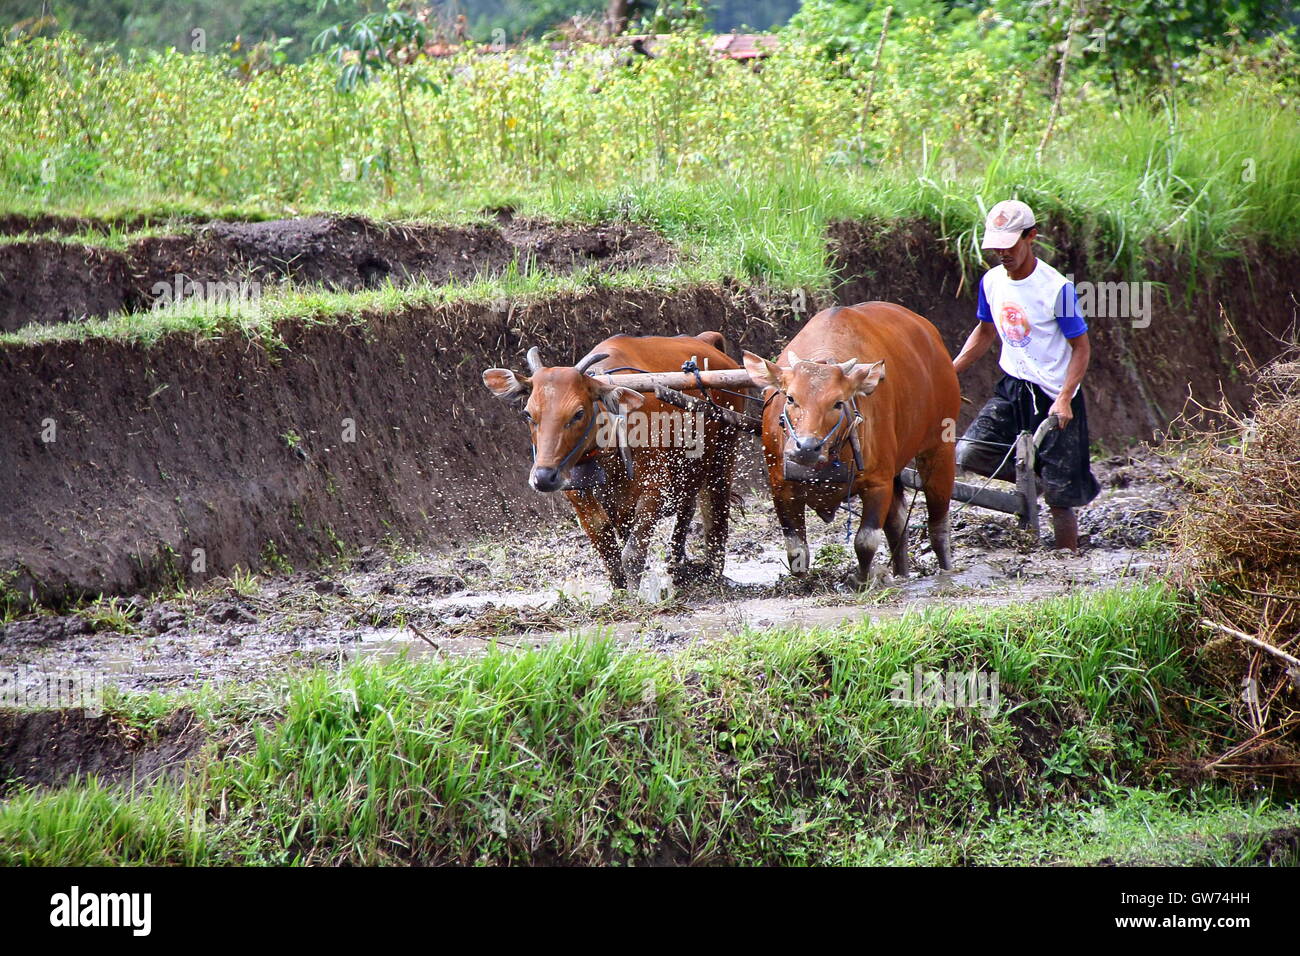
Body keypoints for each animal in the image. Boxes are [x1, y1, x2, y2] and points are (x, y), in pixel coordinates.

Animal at [483, 332, 745, 591]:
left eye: (578, 413)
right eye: (528, 413)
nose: (544, 477)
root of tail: (706, 342)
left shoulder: (654, 490)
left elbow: (632, 554)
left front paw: (635, 595)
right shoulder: (580, 498)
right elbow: (608, 551)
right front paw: (619, 591)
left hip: (722, 459)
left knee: (715, 512)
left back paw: (712, 572)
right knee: (687, 511)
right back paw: (678, 568)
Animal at [742, 302, 961, 586]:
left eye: (838, 402)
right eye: (790, 398)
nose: (806, 447)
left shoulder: (878, 482)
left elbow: (865, 541)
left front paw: (861, 580)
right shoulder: (780, 486)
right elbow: (796, 549)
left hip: (939, 449)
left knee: (938, 523)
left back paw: (946, 570)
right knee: (898, 524)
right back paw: (901, 572)